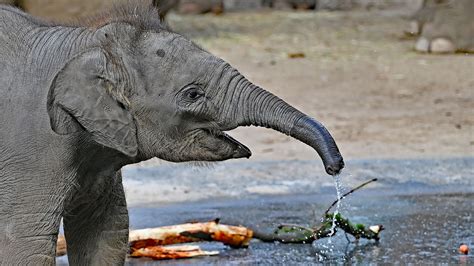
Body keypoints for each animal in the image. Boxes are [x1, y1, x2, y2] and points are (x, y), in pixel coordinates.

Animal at [0, 1, 342, 264]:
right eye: (193, 94)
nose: (335, 167)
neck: (84, 42)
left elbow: (106, 232)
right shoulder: (32, 158)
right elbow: (26, 242)